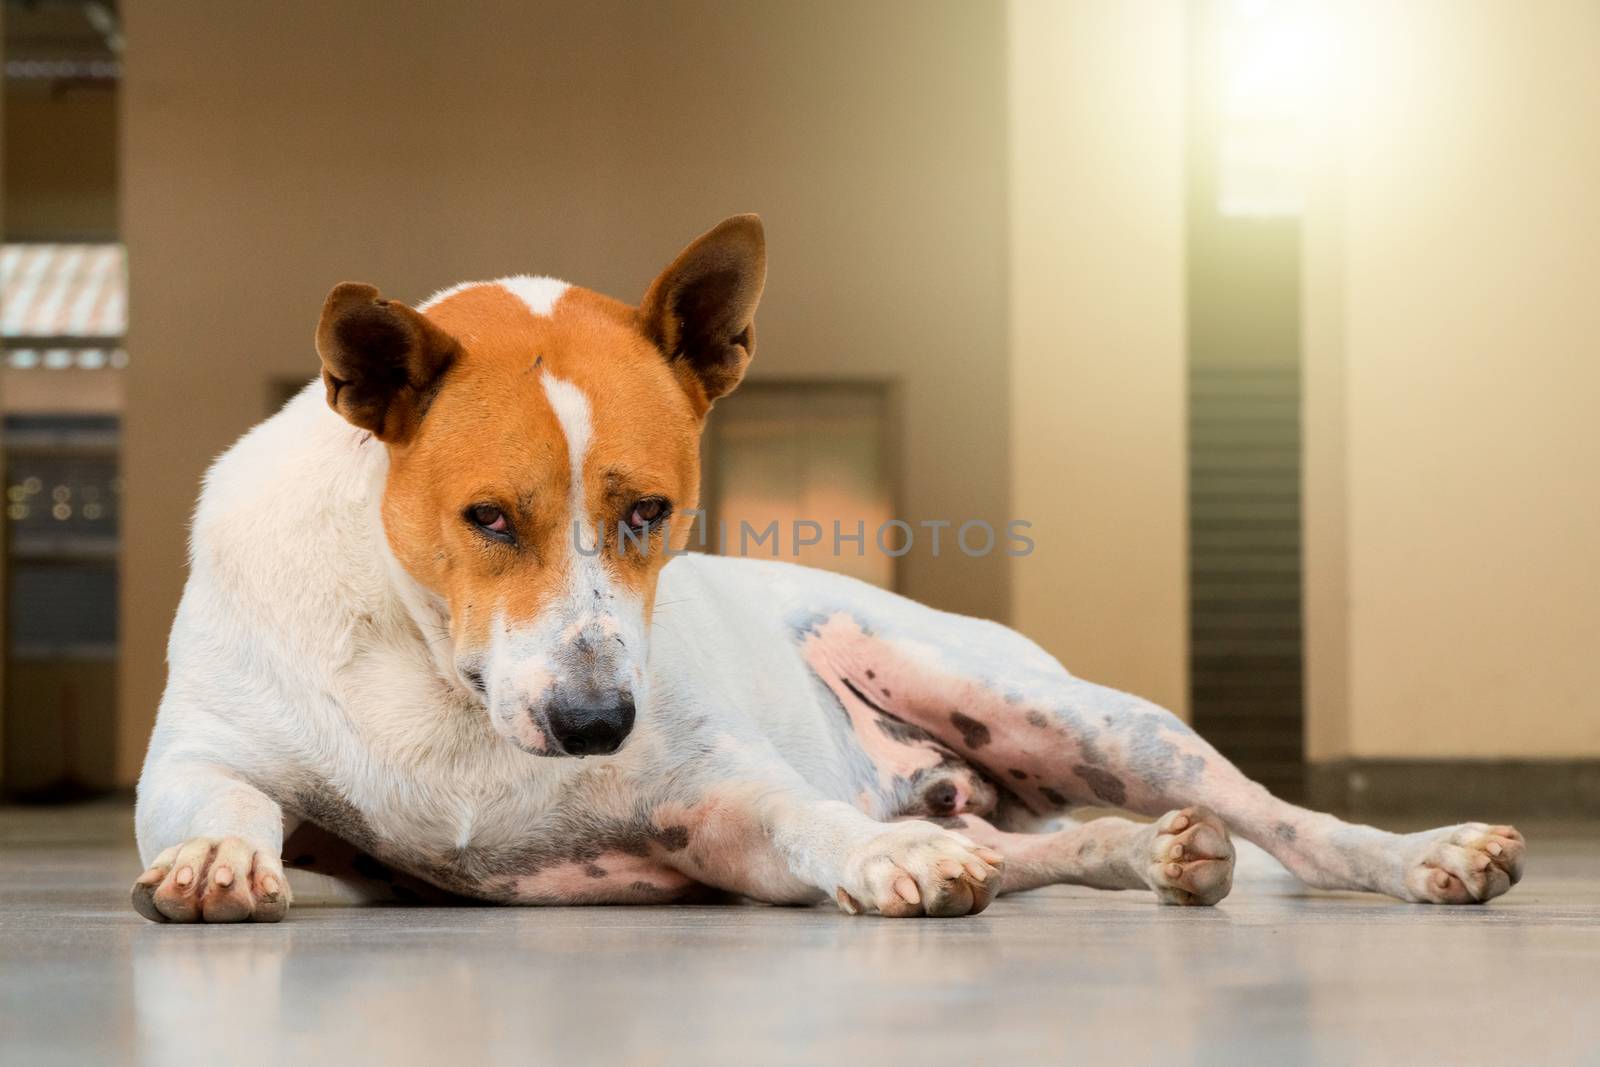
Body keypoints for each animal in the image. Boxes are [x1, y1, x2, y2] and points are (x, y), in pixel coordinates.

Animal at [134, 212, 1523, 921]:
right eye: (486, 518)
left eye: (651, 510)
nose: (595, 723)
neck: (436, 670)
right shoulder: (210, 748)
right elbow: (218, 799)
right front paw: (216, 863)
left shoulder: (720, 805)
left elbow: (803, 818)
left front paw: (881, 862)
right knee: (1039, 845)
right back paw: (1139, 856)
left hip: (1059, 707)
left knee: (1284, 818)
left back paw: (1423, 851)